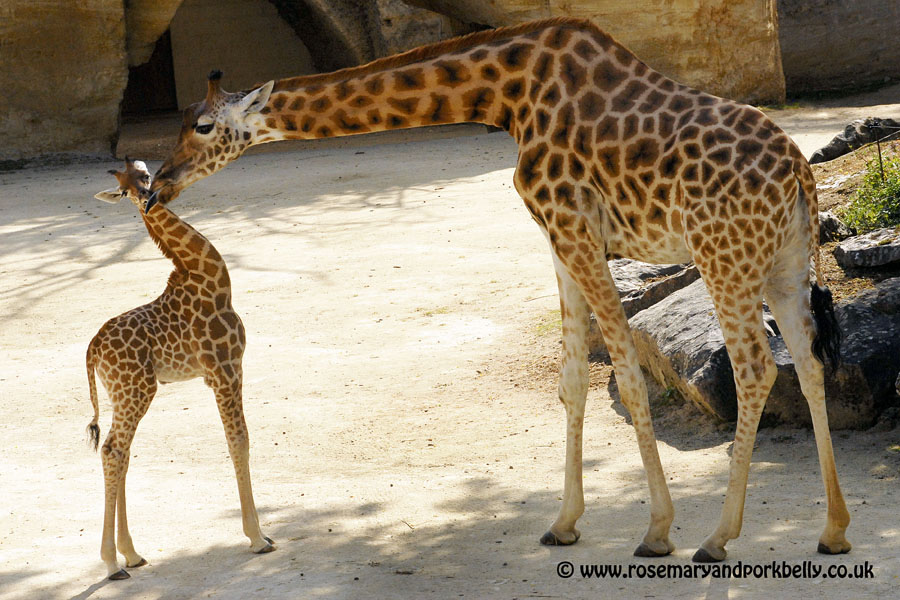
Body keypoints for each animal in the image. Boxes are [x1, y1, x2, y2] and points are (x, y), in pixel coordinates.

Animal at [86, 158, 274, 580]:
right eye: (123, 190)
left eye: (143, 176)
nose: (145, 197)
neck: (210, 277)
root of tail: (92, 349)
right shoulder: (225, 368)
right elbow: (239, 441)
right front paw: (258, 538)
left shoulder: (222, 372)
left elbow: (239, 440)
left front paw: (260, 534)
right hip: (137, 390)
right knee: (113, 450)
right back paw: (111, 562)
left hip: (124, 393)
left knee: (120, 453)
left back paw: (132, 554)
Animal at [148, 17, 850, 562]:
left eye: (203, 126)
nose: (159, 183)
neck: (506, 93)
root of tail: (798, 173)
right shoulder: (560, 239)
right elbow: (572, 379)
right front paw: (564, 524)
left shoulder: (573, 227)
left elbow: (625, 376)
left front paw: (657, 531)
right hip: (785, 264)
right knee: (809, 361)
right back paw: (834, 530)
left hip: (723, 258)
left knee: (755, 367)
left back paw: (719, 537)